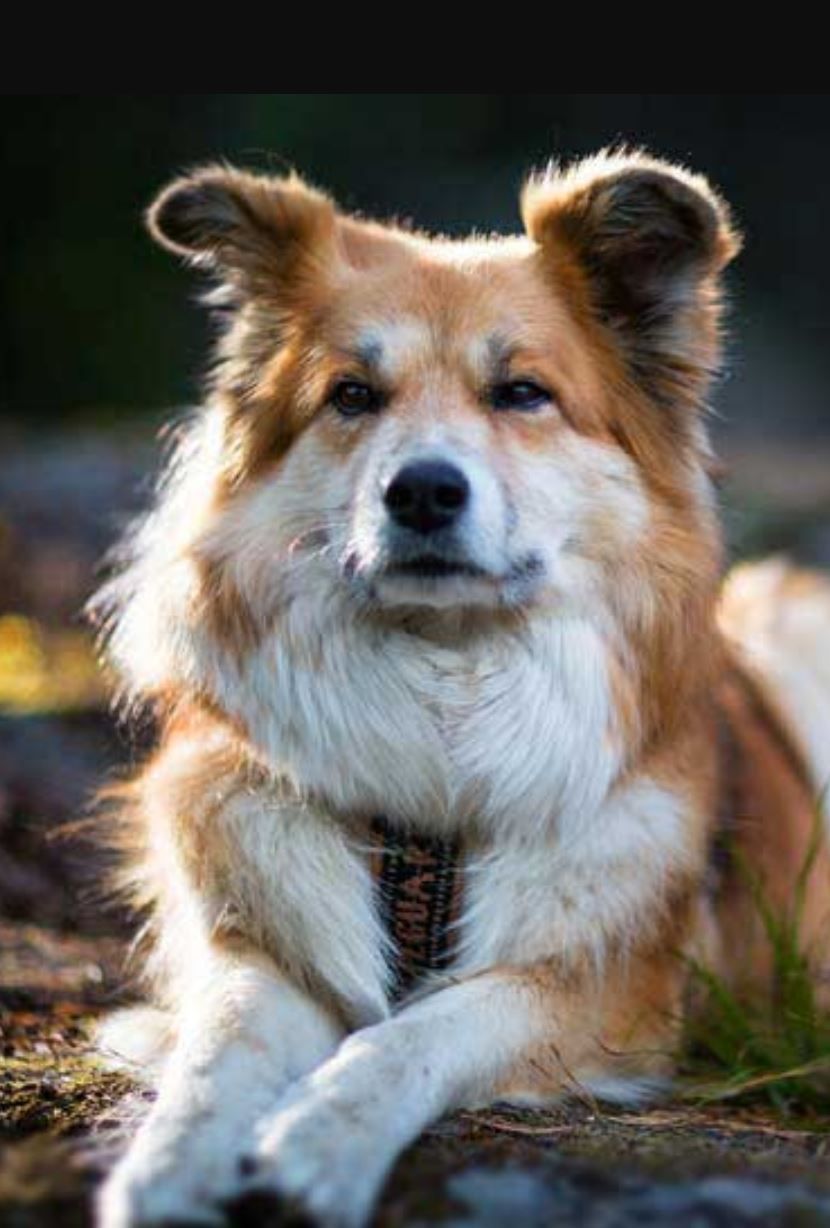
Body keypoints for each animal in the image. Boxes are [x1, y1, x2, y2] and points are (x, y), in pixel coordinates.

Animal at [93, 148, 830, 1223]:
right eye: (352, 395)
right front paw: (169, 1164)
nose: (425, 491)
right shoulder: (255, 946)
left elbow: (417, 1031)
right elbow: (219, 1049)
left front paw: (319, 1137)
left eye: (521, 392)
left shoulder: (600, 990)